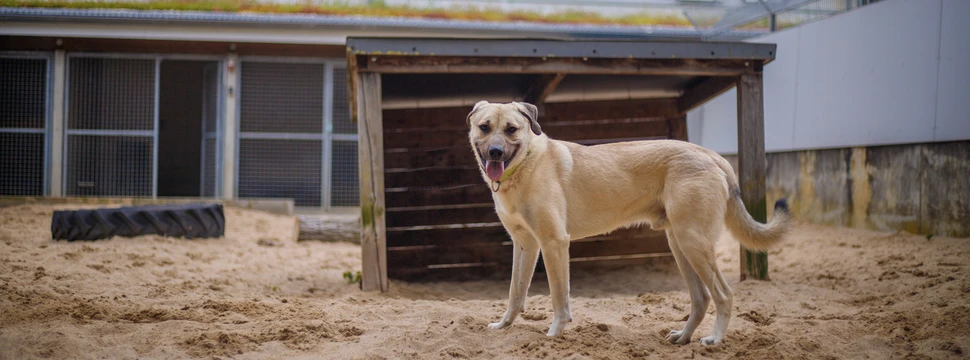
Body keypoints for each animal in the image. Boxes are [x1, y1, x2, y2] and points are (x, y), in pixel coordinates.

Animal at [466, 100, 792, 344]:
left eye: (511, 129)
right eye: (484, 127)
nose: (495, 152)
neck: (524, 165)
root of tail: (713, 156)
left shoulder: (554, 243)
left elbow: (559, 296)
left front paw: (555, 332)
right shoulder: (525, 245)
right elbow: (515, 292)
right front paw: (504, 325)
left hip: (693, 242)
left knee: (723, 294)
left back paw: (715, 338)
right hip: (680, 244)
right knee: (700, 299)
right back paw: (683, 337)